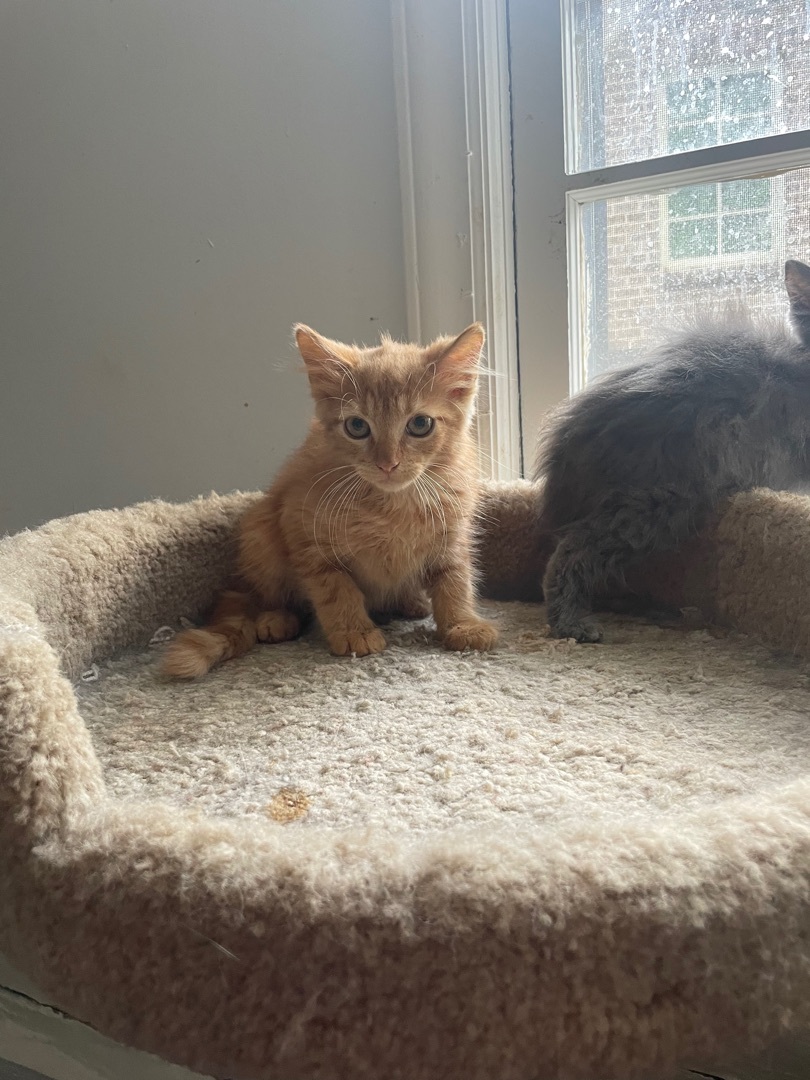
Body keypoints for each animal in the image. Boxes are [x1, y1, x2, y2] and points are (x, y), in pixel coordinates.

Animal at [163, 322, 498, 678]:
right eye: (357, 426)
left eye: (420, 424)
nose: (387, 464)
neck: (392, 506)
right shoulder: (304, 532)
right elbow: (336, 589)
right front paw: (354, 632)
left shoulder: (452, 535)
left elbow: (455, 580)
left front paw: (463, 624)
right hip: (261, 534)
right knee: (268, 596)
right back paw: (276, 618)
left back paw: (411, 602)